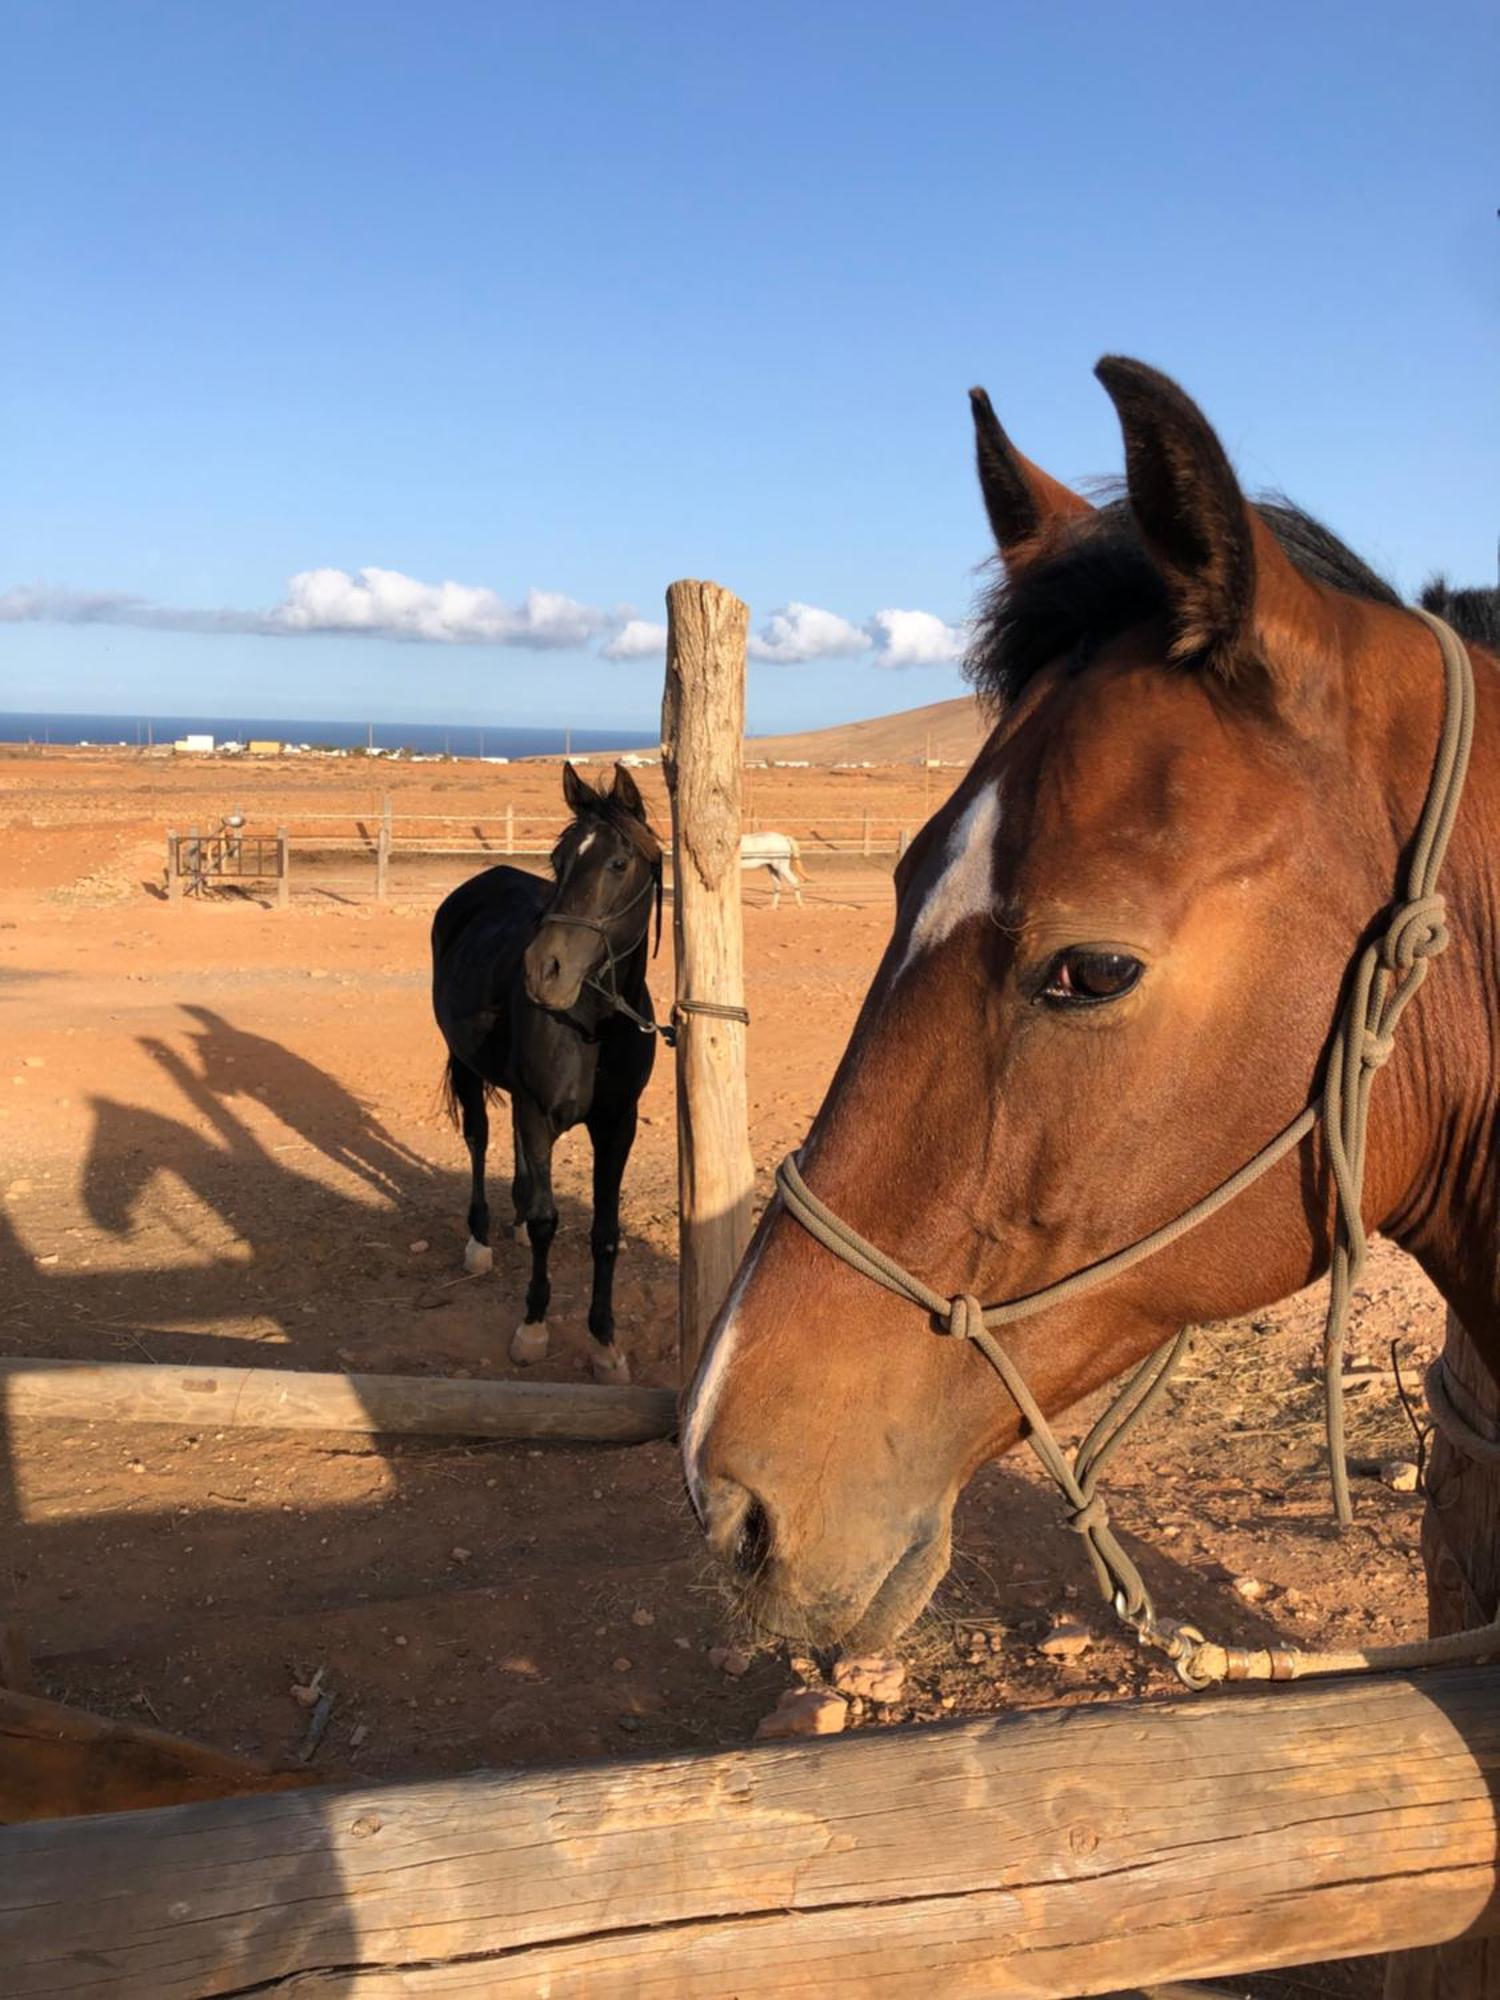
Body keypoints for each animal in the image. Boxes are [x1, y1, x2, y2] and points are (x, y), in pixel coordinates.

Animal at [432, 756, 660, 1384]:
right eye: (558, 862)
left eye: (618, 863)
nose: (543, 970)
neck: (595, 1026)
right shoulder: (538, 1113)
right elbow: (545, 1221)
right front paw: (533, 1328)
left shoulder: (617, 1126)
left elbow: (604, 1233)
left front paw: (605, 1342)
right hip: (466, 1065)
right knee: (480, 1138)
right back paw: (481, 1239)